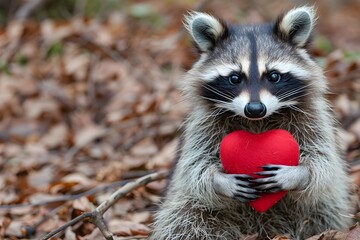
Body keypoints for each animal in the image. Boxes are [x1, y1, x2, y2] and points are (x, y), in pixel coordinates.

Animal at [149, 6, 354, 240]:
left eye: (274, 76)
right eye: (234, 78)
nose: (255, 109)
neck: (258, 121)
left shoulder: (313, 117)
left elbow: (323, 161)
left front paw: (298, 174)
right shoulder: (202, 124)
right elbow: (194, 166)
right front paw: (220, 181)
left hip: (322, 207)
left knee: (323, 211)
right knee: (185, 218)